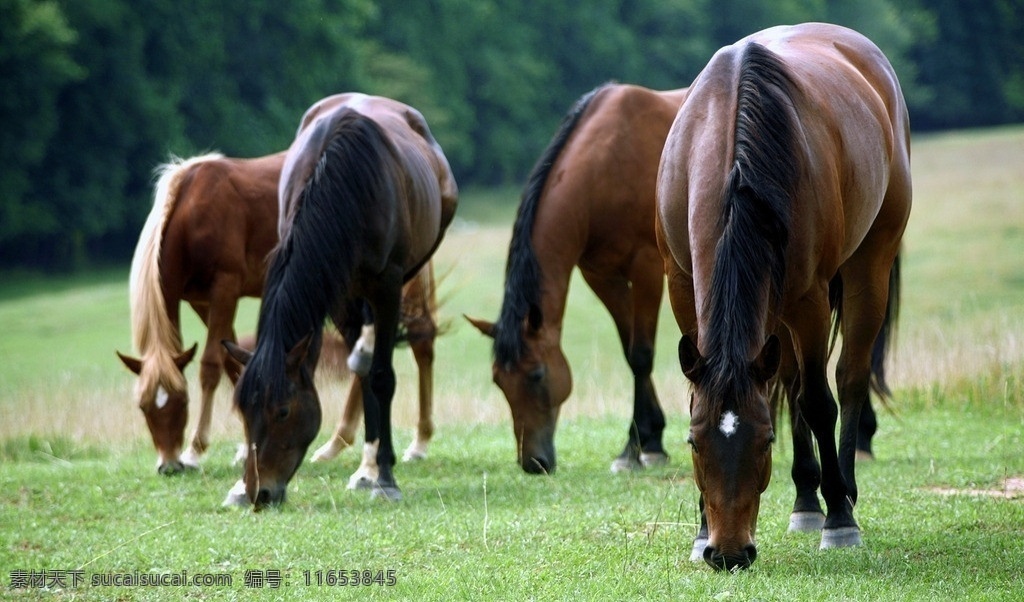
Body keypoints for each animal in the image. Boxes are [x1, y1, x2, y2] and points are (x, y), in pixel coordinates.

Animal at [228, 94, 460, 507]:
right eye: (243, 411)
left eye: (283, 411)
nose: (261, 493)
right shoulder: (334, 292)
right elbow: (365, 375)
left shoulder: (387, 286)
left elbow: (382, 377)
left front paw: (385, 478)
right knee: (362, 365)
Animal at [468, 82, 692, 475]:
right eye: (498, 381)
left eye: (537, 375)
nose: (533, 463)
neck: (606, 167)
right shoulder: (601, 276)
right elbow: (628, 350)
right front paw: (651, 439)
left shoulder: (647, 268)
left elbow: (641, 354)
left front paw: (634, 450)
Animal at [655, 22, 913, 569]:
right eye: (693, 441)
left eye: (765, 440)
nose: (729, 553)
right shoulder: (682, 286)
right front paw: (700, 530)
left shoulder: (810, 300)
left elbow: (818, 401)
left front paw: (840, 520)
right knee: (791, 380)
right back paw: (805, 500)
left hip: (868, 266)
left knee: (848, 377)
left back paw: (841, 493)